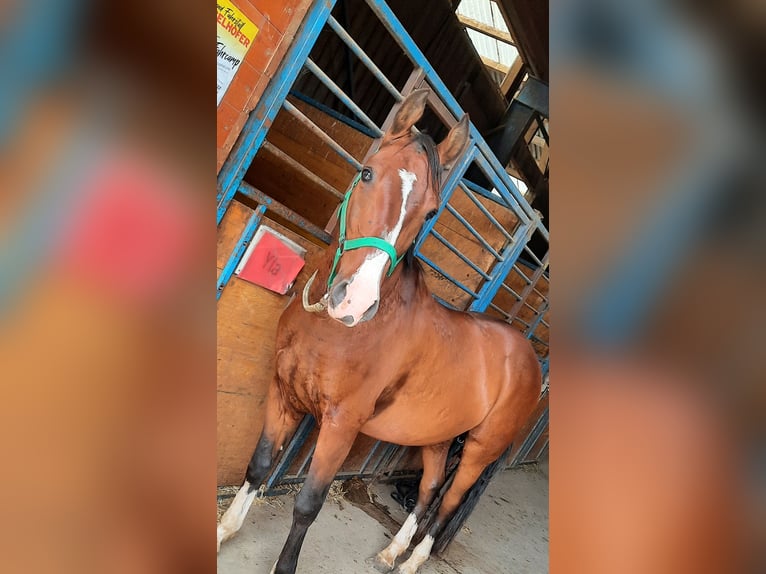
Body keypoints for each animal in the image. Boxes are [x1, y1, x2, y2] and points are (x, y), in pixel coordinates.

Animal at [216, 91, 540, 574]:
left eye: (431, 211)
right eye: (367, 173)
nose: (354, 303)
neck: (333, 333)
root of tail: (531, 358)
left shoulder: (340, 423)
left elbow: (307, 505)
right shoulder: (282, 390)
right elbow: (258, 467)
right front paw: (223, 532)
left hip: (480, 449)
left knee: (447, 504)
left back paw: (411, 562)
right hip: (438, 437)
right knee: (428, 491)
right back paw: (391, 552)